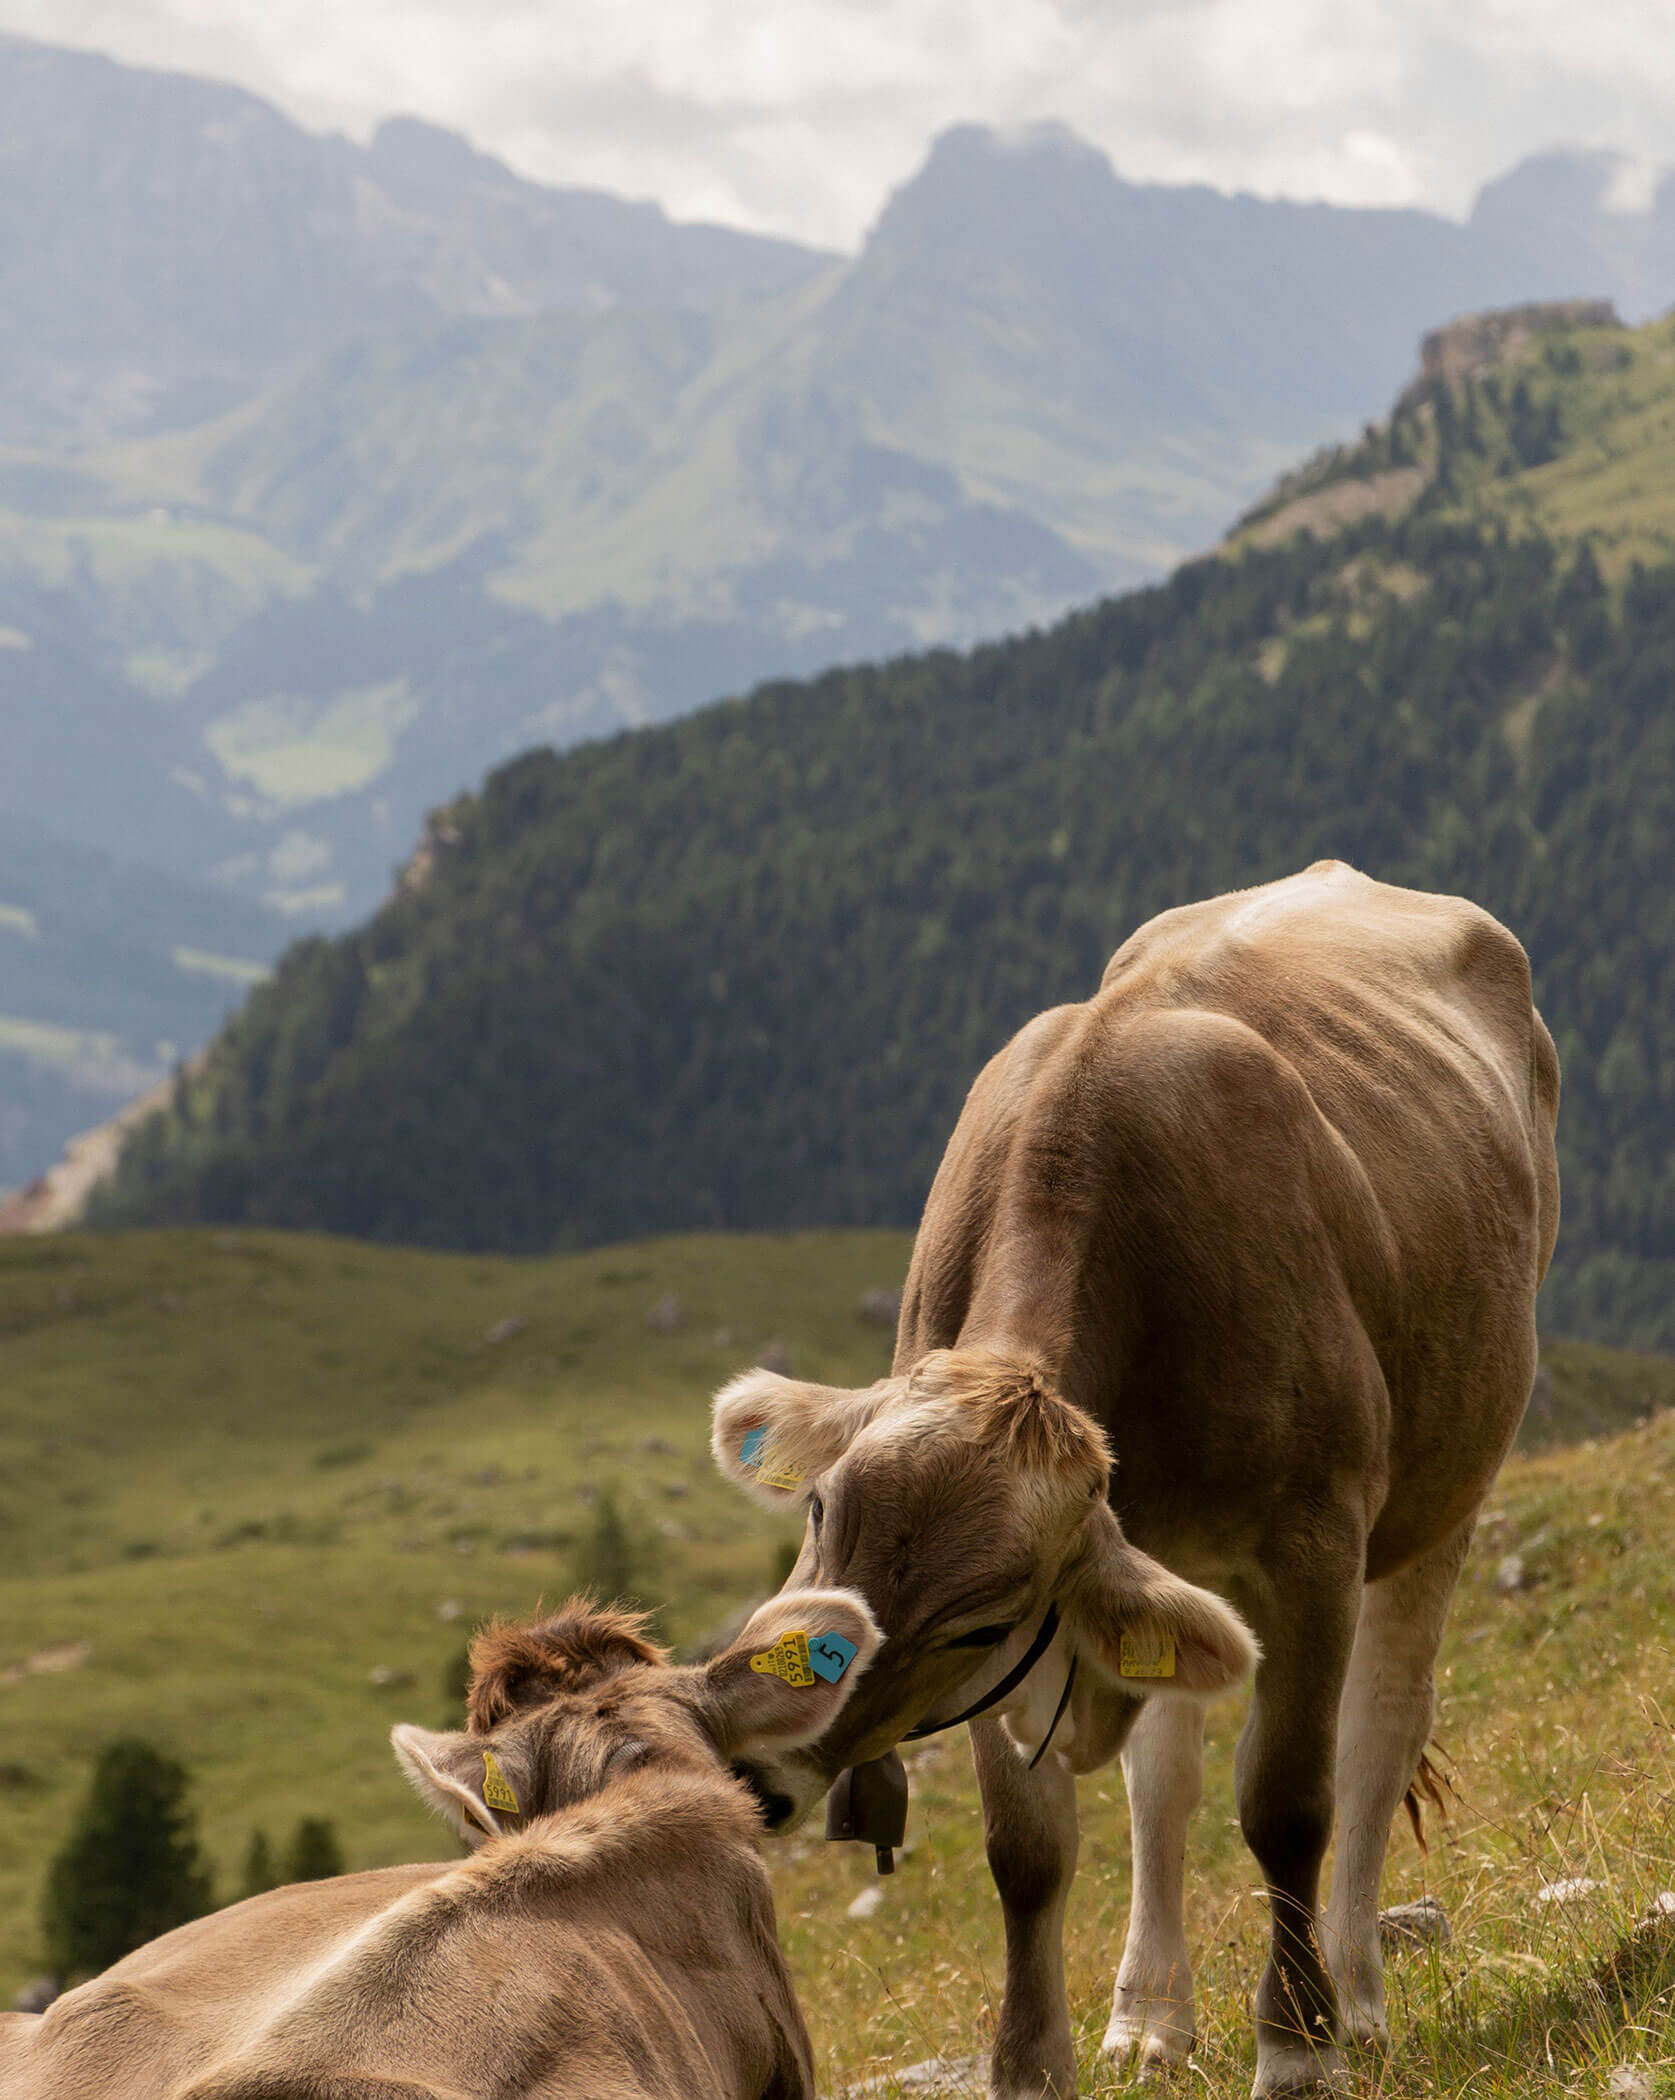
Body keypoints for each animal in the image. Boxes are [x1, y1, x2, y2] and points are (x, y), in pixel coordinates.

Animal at [711, 863, 1560, 2098]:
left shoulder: (1310, 1547)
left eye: (978, 1619)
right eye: (818, 1509)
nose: (759, 1761)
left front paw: (1295, 2048)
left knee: (1379, 1732)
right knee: (1163, 1783)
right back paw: (1151, 2019)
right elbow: (1028, 1849)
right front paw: (1032, 2065)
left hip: (1447, 1481)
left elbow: (1287, 1802)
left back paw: (1356, 1996)